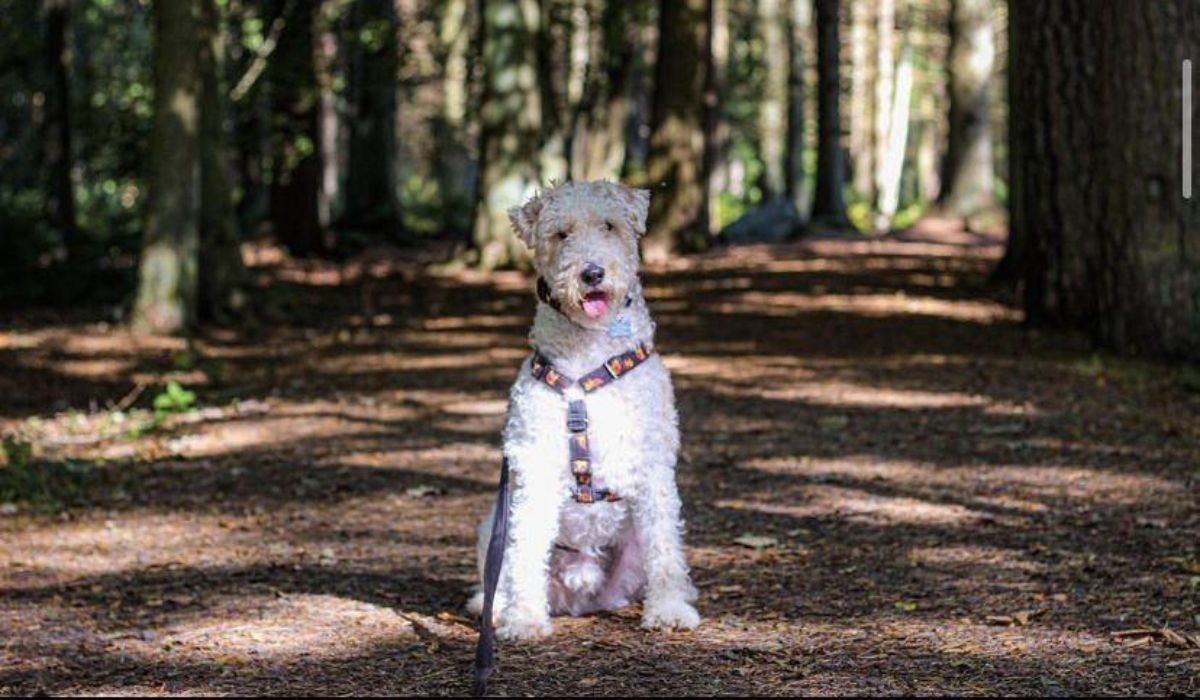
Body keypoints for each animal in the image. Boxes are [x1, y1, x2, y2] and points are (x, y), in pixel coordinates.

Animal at [463, 181, 700, 638]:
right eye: (561, 234)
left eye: (609, 225)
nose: (591, 274)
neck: (588, 355)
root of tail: (579, 591)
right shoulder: (534, 463)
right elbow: (526, 551)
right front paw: (525, 619)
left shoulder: (652, 462)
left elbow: (665, 546)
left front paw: (669, 611)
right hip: (496, 520)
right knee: (502, 570)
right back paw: (496, 608)